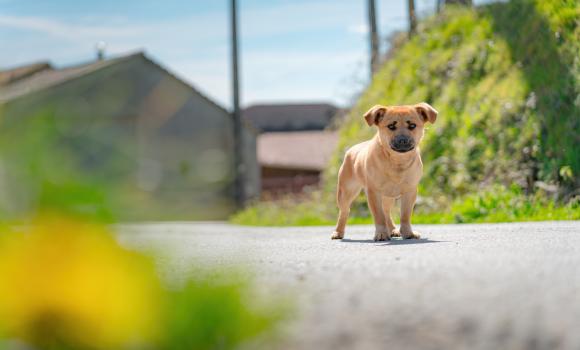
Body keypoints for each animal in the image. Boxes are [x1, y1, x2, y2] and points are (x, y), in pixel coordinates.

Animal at [328, 102, 438, 242]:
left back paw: (392, 230)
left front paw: (408, 232)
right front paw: (381, 233)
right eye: (391, 126)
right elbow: (378, 216)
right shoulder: (373, 192)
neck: (397, 161)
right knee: (344, 211)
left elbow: (405, 215)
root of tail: (351, 149)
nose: (403, 140)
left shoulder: (410, 191)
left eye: (412, 126)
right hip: (346, 192)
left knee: (386, 211)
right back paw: (338, 232)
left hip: (388, 196)